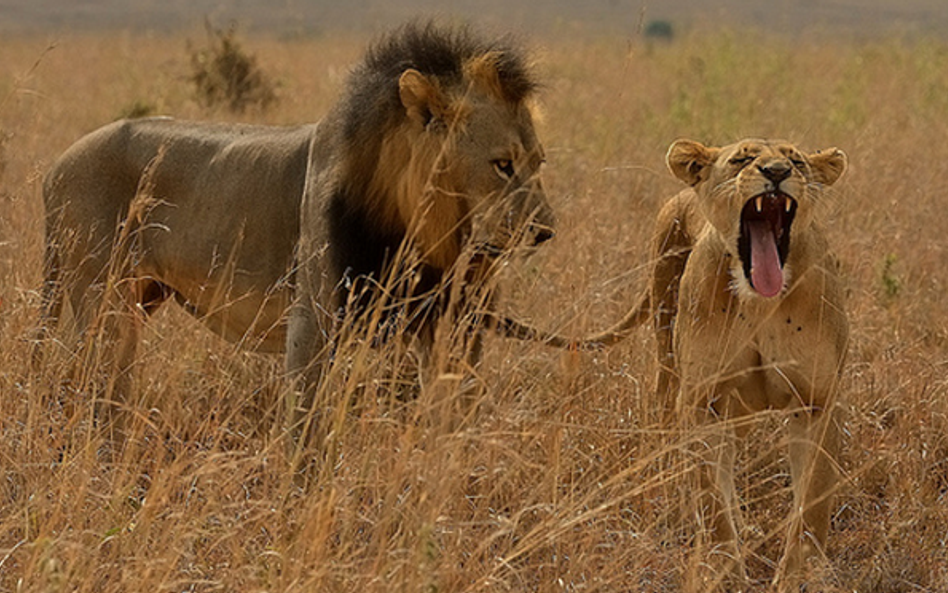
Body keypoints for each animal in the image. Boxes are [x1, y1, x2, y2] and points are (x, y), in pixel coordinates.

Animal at [42, 23, 556, 438]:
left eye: (539, 163)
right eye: (502, 165)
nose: (546, 232)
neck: (420, 231)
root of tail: (57, 166)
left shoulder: (454, 325)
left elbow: (455, 417)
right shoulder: (313, 323)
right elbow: (306, 434)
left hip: (138, 298)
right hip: (103, 304)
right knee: (95, 388)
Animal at [580, 138, 848, 588]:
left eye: (796, 161)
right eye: (743, 159)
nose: (776, 172)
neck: (760, 302)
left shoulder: (816, 401)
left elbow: (812, 501)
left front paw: (800, 574)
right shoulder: (702, 401)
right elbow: (711, 500)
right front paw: (724, 572)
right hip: (668, 345)